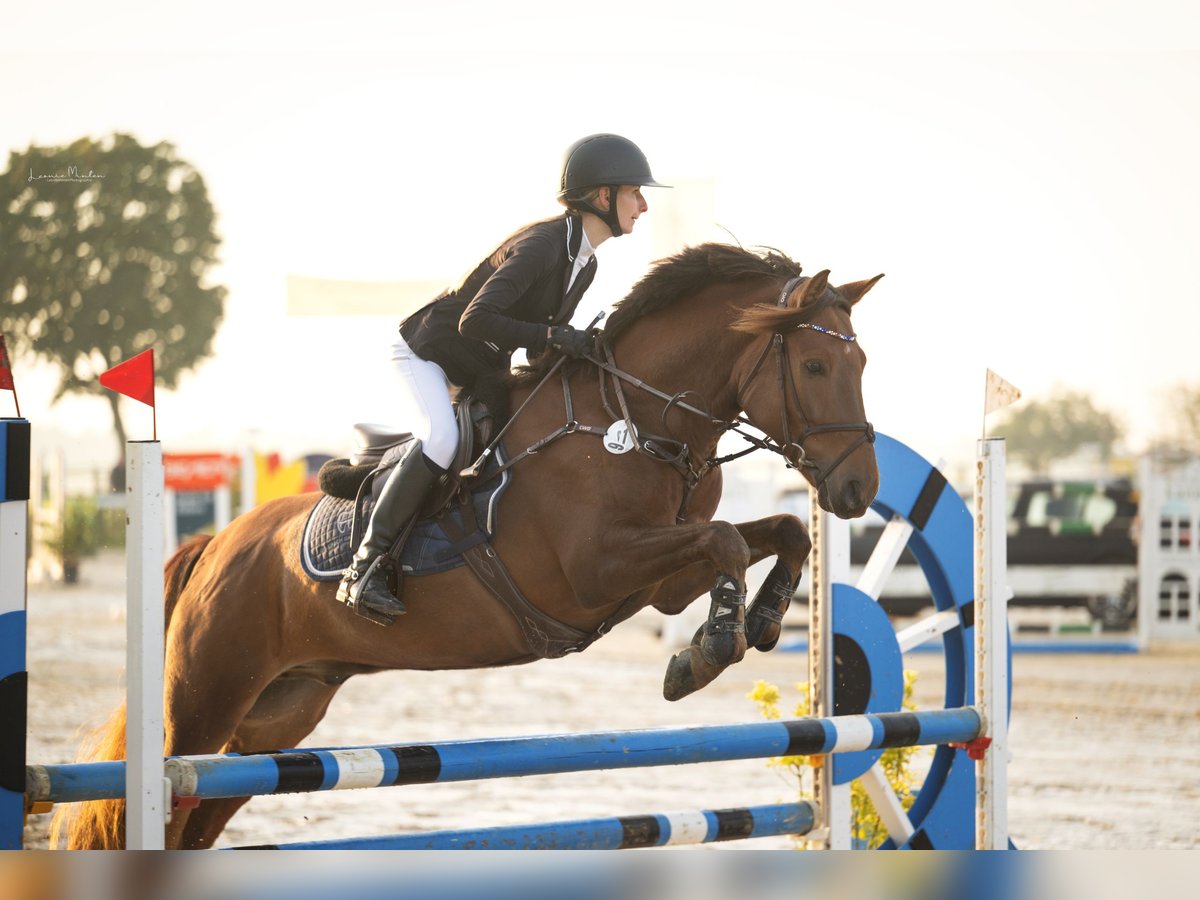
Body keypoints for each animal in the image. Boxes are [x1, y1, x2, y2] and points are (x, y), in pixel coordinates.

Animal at [56, 243, 883, 849]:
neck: (635, 420)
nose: (857, 491)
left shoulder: (656, 583)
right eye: (814, 365)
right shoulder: (594, 573)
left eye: (862, 365)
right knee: (161, 805)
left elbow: (769, 534)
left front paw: (762, 621)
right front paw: (706, 652)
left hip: (271, 722)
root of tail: (216, 544)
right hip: (202, 703)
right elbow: (725, 541)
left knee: (199, 817)